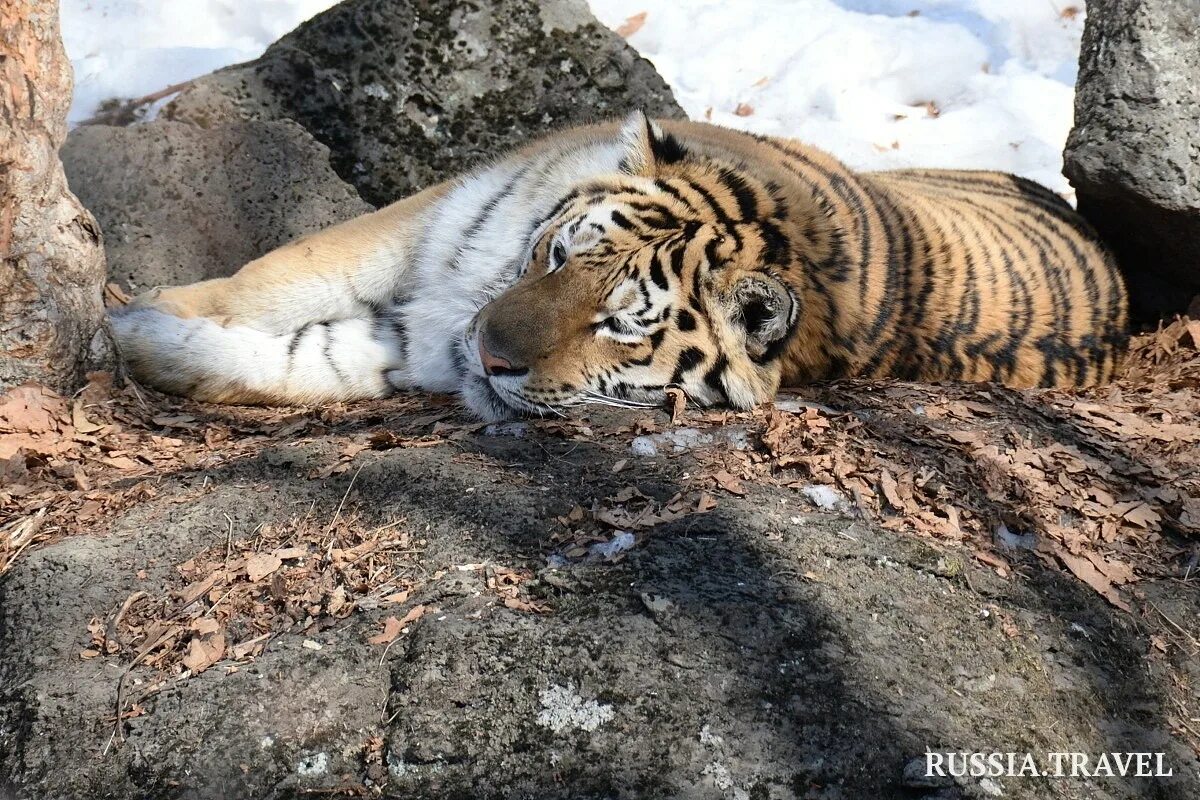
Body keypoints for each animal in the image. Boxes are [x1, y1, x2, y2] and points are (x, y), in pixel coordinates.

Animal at [108, 113, 1128, 424]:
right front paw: (143, 316)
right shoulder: (429, 218)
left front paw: (139, 338)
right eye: (557, 254)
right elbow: (284, 276)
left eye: (618, 323)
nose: (488, 354)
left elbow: (305, 360)